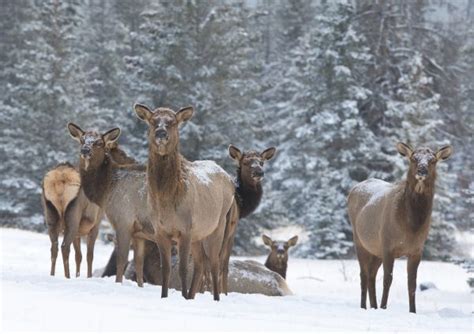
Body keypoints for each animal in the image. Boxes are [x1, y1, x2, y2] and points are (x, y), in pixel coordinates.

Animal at [134, 104, 234, 300]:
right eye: (152, 121)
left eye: (172, 122)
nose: (161, 133)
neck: (165, 202)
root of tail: (230, 180)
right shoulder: (160, 231)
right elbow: (165, 269)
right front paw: (165, 296)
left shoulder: (185, 229)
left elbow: (182, 270)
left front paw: (182, 296)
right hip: (198, 234)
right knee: (200, 263)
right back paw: (192, 296)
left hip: (218, 225)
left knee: (214, 263)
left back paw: (215, 298)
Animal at [219, 145, 278, 294]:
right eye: (245, 162)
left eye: (262, 162)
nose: (259, 172)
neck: (242, 204)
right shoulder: (232, 229)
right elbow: (224, 265)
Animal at [348, 142, 452, 314]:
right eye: (413, 158)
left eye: (432, 160)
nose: (421, 170)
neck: (411, 226)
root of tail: (354, 188)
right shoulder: (388, 245)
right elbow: (387, 279)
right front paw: (384, 307)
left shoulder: (416, 250)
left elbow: (412, 283)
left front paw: (413, 311)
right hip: (360, 241)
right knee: (364, 275)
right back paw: (364, 307)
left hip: (376, 249)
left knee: (371, 275)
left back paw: (373, 306)